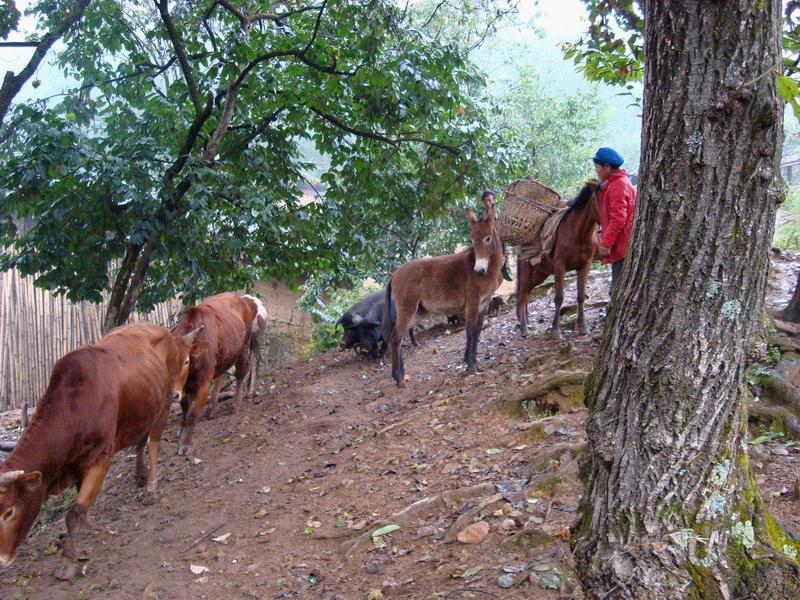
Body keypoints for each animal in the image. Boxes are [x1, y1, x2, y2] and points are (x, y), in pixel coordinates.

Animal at [0, 324, 205, 572]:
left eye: (8, 512)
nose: (1, 560)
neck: (74, 408)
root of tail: (163, 331)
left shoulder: (100, 459)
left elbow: (75, 512)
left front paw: (69, 559)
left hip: (166, 399)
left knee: (154, 442)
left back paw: (151, 488)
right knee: (141, 438)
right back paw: (140, 473)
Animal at [173, 292, 258, 454]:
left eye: (186, 361)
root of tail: (242, 299)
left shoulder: (204, 383)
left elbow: (192, 414)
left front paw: (186, 444)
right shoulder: (184, 388)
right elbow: (185, 411)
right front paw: (181, 438)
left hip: (243, 348)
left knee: (240, 374)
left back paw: (236, 403)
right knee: (221, 375)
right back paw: (211, 409)